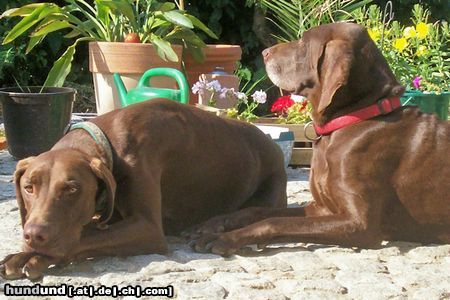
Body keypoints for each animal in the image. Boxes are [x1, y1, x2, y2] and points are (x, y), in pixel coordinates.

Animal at [0, 99, 288, 280]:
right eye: (28, 187)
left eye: (72, 189)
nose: (34, 235)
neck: (109, 141)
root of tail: (272, 142)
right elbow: (89, 229)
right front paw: (21, 254)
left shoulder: (147, 227)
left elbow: (85, 236)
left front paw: (33, 258)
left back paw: (213, 226)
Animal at [189, 22, 450, 254]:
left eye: (304, 44)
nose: (264, 52)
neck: (355, 118)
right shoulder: (323, 208)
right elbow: (258, 211)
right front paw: (216, 224)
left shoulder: (359, 224)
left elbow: (274, 222)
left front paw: (227, 238)